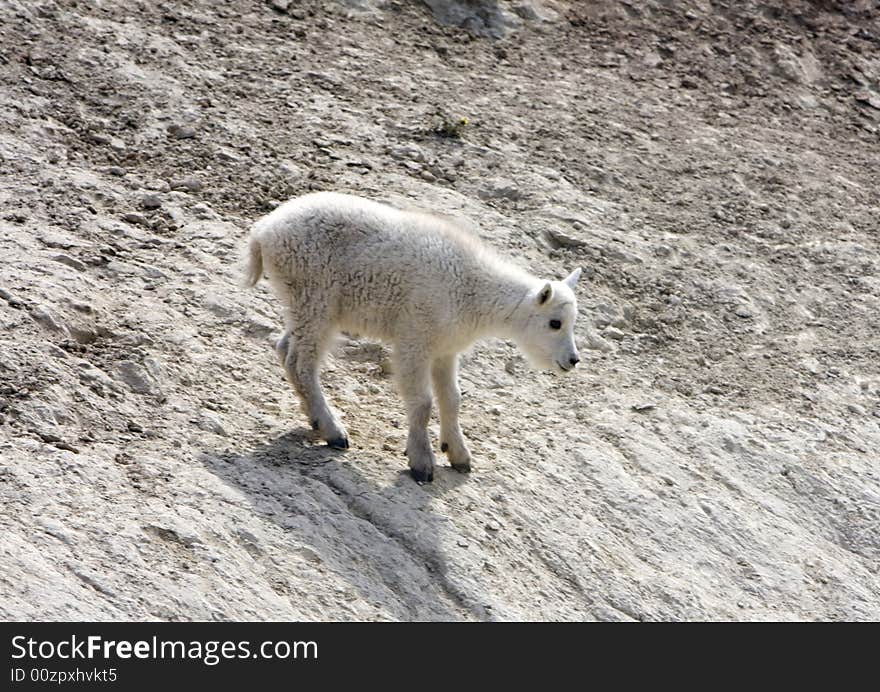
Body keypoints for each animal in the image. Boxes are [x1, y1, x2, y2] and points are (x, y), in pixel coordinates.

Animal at [244, 189, 580, 482]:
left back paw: (316, 420)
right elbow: (422, 402)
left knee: (286, 348)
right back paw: (334, 431)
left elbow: (452, 398)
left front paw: (458, 454)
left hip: (305, 305)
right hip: (315, 297)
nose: (573, 360)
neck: (474, 291)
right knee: (302, 362)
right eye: (555, 323)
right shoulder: (415, 336)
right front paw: (421, 463)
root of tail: (263, 232)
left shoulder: (445, 349)